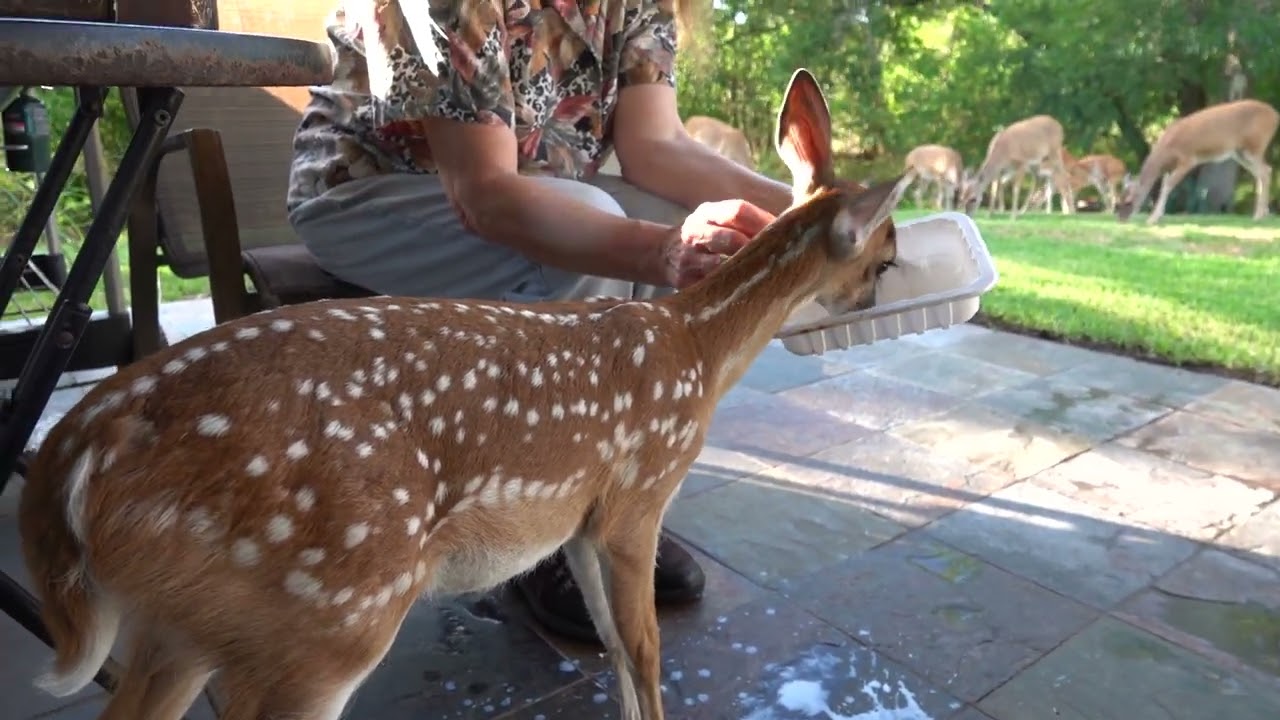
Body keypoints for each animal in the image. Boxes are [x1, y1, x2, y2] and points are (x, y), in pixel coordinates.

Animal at [18, 68, 906, 720]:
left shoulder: (579, 518)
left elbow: (615, 647)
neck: (698, 344)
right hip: (332, 601)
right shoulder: (638, 493)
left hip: (182, 621)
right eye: (888, 256)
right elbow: (648, 646)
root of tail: (76, 446)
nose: (870, 298)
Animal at [1116, 98, 1278, 224]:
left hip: (1255, 145)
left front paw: (1153, 218)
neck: (1166, 151)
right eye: (1119, 199)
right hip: (1240, 152)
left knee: (1265, 171)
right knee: (1262, 172)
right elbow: (1164, 184)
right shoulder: (1170, 167)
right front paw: (1158, 215)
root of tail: (1275, 116)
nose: (1121, 219)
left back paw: (1258, 216)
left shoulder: (1188, 159)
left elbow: (1168, 185)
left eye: (1128, 201)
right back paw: (1263, 213)